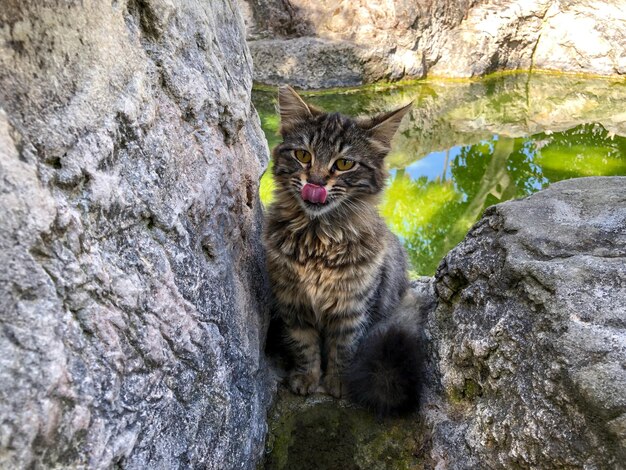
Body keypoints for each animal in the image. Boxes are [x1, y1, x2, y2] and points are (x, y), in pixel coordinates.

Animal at [260, 85, 422, 414]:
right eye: (303, 155)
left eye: (344, 163)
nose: (316, 182)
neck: (317, 240)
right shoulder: (293, 303)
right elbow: (305, 345)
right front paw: (307, 378)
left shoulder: (352, 307)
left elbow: (342, 348)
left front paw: (338, 383)